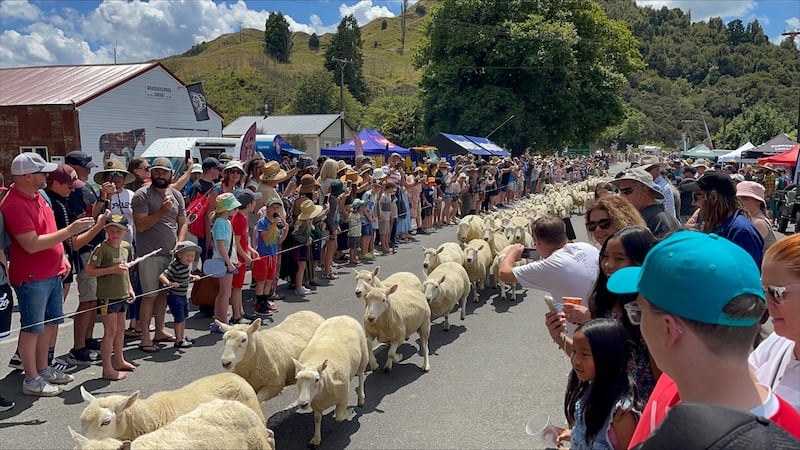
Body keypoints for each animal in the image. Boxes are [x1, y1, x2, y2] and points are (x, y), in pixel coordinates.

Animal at [292, 314, 370, 448]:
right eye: (297, 379)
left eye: (317, 379)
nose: (302, 404)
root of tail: (343, 316)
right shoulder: (315, 404)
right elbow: (317, 419)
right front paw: (316, 438)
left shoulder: (344, 397)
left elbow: (339, 417)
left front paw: (349, 412)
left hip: (363, 356)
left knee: (360, 376)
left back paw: (361, 398)